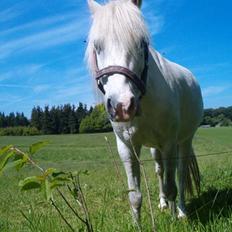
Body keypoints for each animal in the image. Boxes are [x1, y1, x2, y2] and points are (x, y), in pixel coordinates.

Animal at [86, 0, 203, 221]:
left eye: (141, 43)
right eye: (97, 46)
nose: (122, 106)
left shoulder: (169, 143)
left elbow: (172, 185)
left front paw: (174, 220)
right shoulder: (126, 147)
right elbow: (135, 196)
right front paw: (137, 223)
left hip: (184, 141)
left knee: (181, 174)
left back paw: (181, 211)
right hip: (155, 147)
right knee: (159, 170)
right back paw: (164, 203)